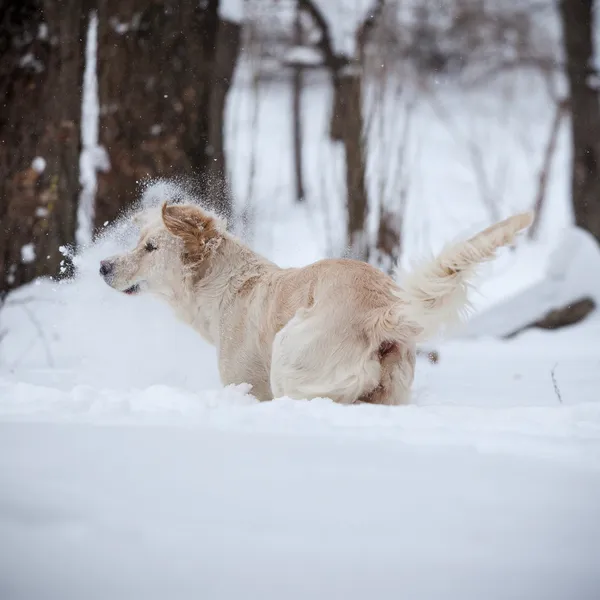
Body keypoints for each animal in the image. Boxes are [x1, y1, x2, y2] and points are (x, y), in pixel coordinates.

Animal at [101, 204, 532, 406]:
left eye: (150, 247)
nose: (103, 266)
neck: (230, 286)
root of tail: (379, 312)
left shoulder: (247, 384)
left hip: (288, 358)